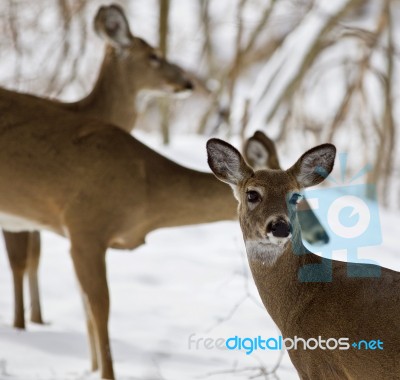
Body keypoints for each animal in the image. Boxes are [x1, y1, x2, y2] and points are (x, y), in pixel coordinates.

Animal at [3, 2, 194, 330]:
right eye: (153, 55)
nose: (188, 83)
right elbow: (20, 261)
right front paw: (21, 325)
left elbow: (34, 258)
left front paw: (38, 320)